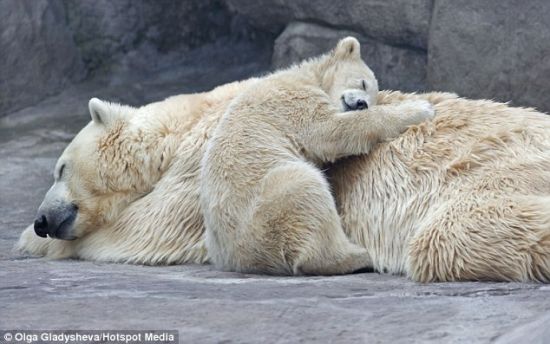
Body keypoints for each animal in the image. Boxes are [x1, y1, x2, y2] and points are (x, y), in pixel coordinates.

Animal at [16, 39, 550, 282]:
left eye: (59, 167)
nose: (42, 219)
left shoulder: (199, 166)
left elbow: (150, 227)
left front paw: (30, 242)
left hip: (489, 172)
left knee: (451, 234)